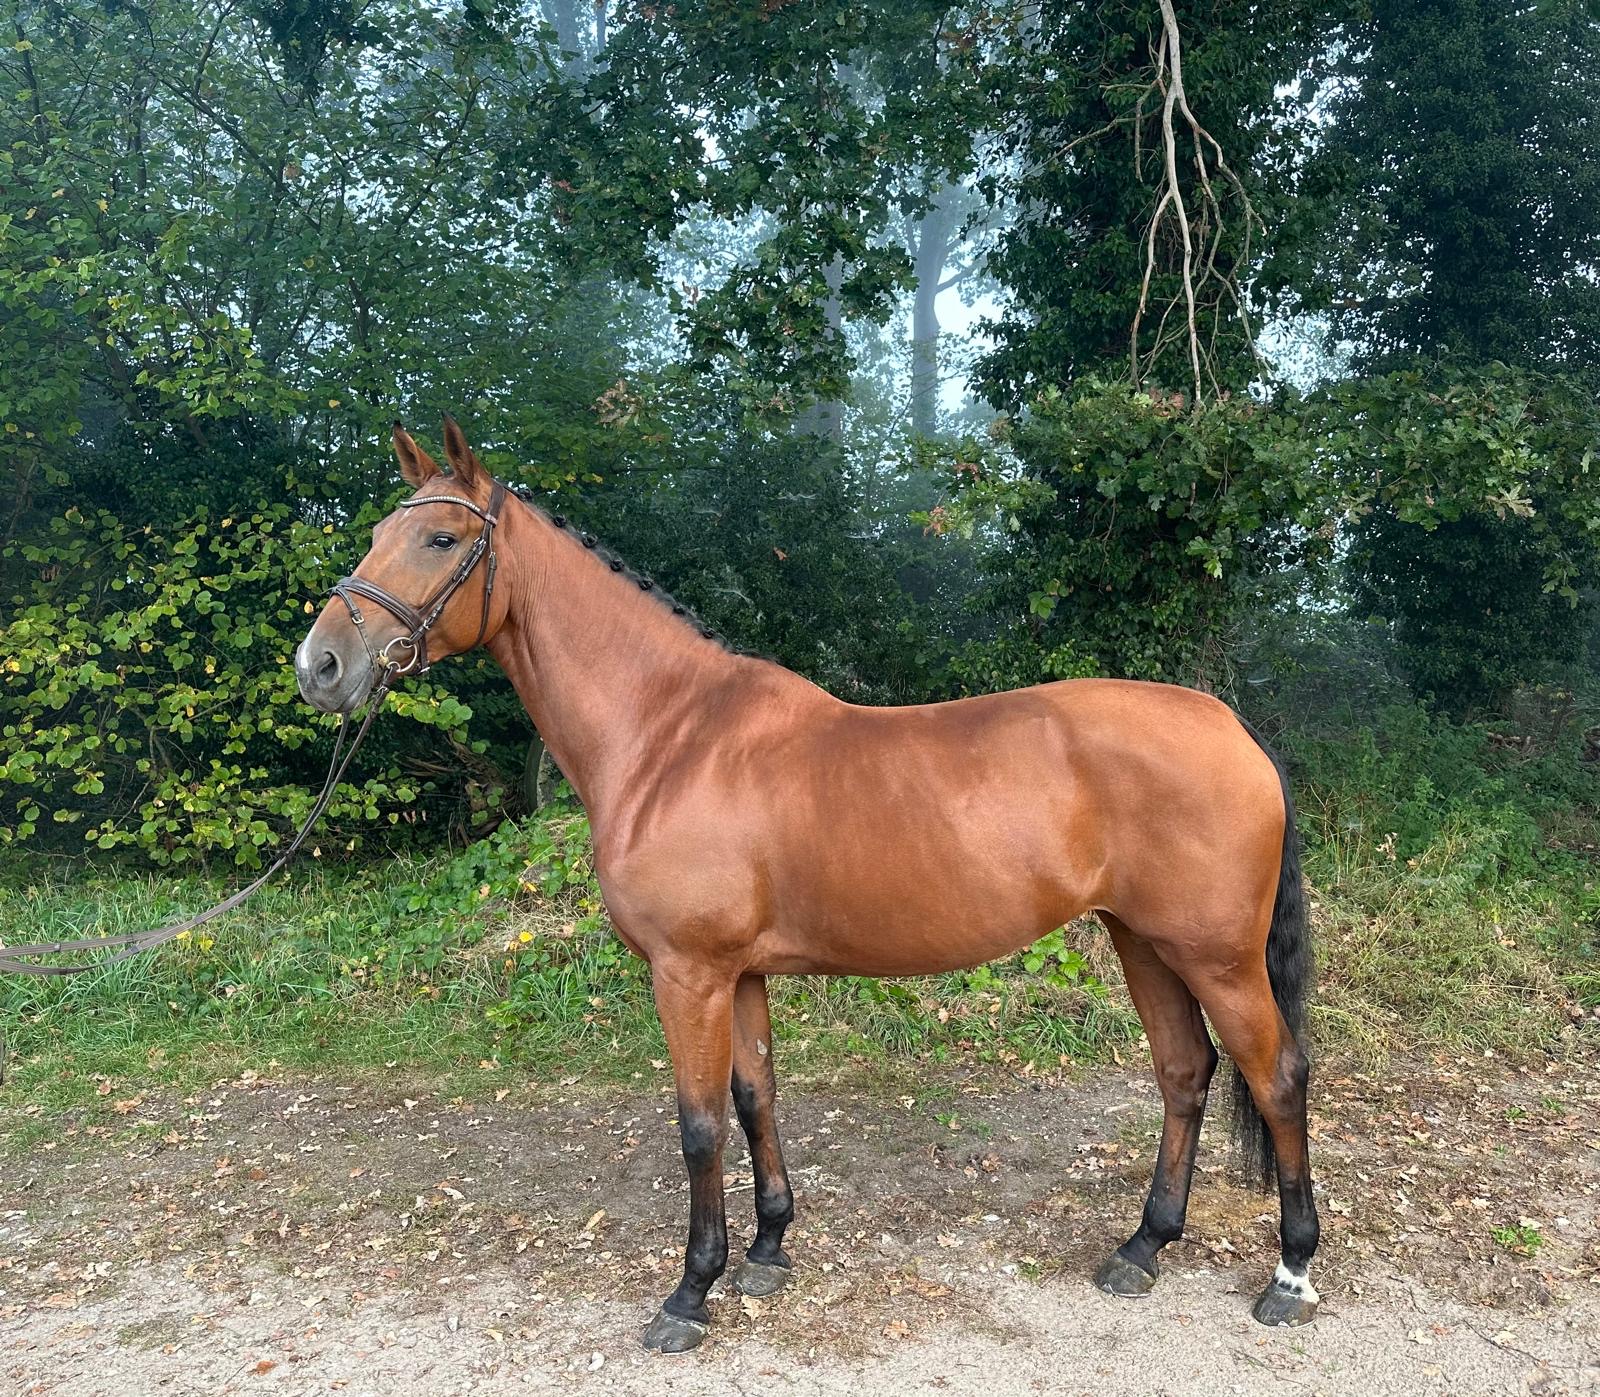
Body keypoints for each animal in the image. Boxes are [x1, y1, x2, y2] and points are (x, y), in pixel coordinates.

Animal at [295, 420, 1320, 1352]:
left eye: (440, 538)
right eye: (378, 531)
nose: (321, 666)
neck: (671, 735)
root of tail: (1233, 727)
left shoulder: (688, 974)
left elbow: (699, 1124)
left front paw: (690, 1292)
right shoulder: (739, 973)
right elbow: (757, 1097)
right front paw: (767, 1249)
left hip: (1217, 956)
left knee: (1276, 1077)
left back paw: (1290, 1272)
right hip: (1142, 941)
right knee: (1185, 1073)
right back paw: (1142, 1248)